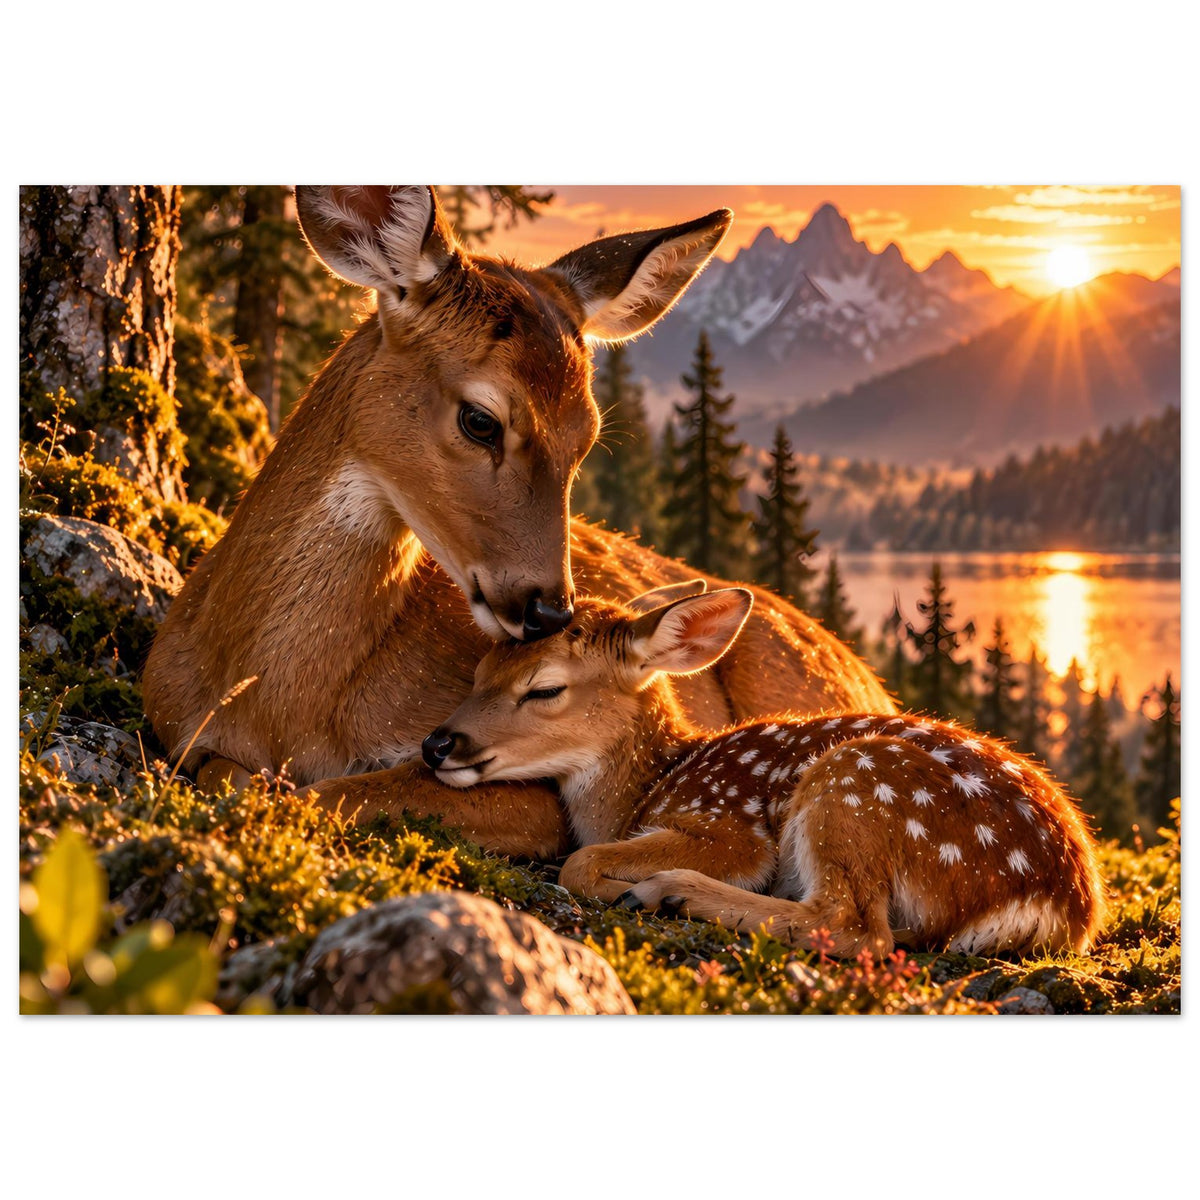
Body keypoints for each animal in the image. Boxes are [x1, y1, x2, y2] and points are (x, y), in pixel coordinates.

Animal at [143, 186, 894, 862]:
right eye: (481, 419)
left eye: (588, 436)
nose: (549, 610)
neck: (274, 703)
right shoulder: (172, 722)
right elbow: (232, 777)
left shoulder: (531, 791)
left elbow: (336, 791)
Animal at [422, 583, 1106, 957]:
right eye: (480, 670)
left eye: (544, 689)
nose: (436, 744)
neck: (647, 787)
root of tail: (1062, 905)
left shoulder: (730, 825)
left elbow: (581, 860)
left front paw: (626, 884)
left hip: (855, 784)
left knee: (854, 926)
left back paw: (671, 892)